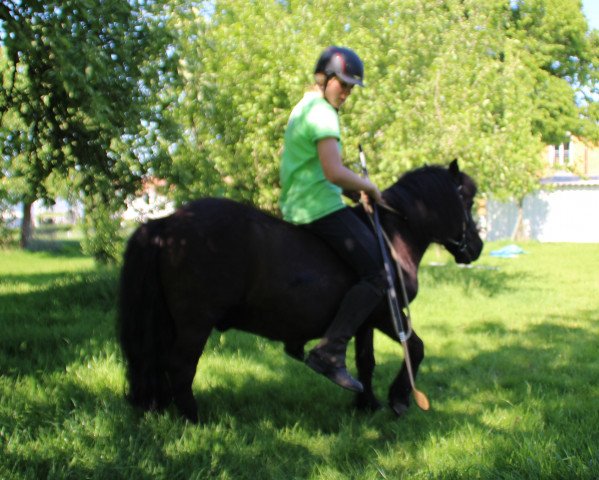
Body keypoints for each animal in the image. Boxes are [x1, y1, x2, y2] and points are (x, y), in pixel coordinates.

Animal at [117, 160, 482, 420]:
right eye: (467, 199)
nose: (477, 248)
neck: (389, 236)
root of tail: (167, 222)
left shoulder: (366, 320)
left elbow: (366, 361)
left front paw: (366, 403)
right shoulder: (385, 314)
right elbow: (416, 348)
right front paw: (399, 399)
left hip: (169, 321)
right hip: (195, 323)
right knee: (180, 366)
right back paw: (195, 420)